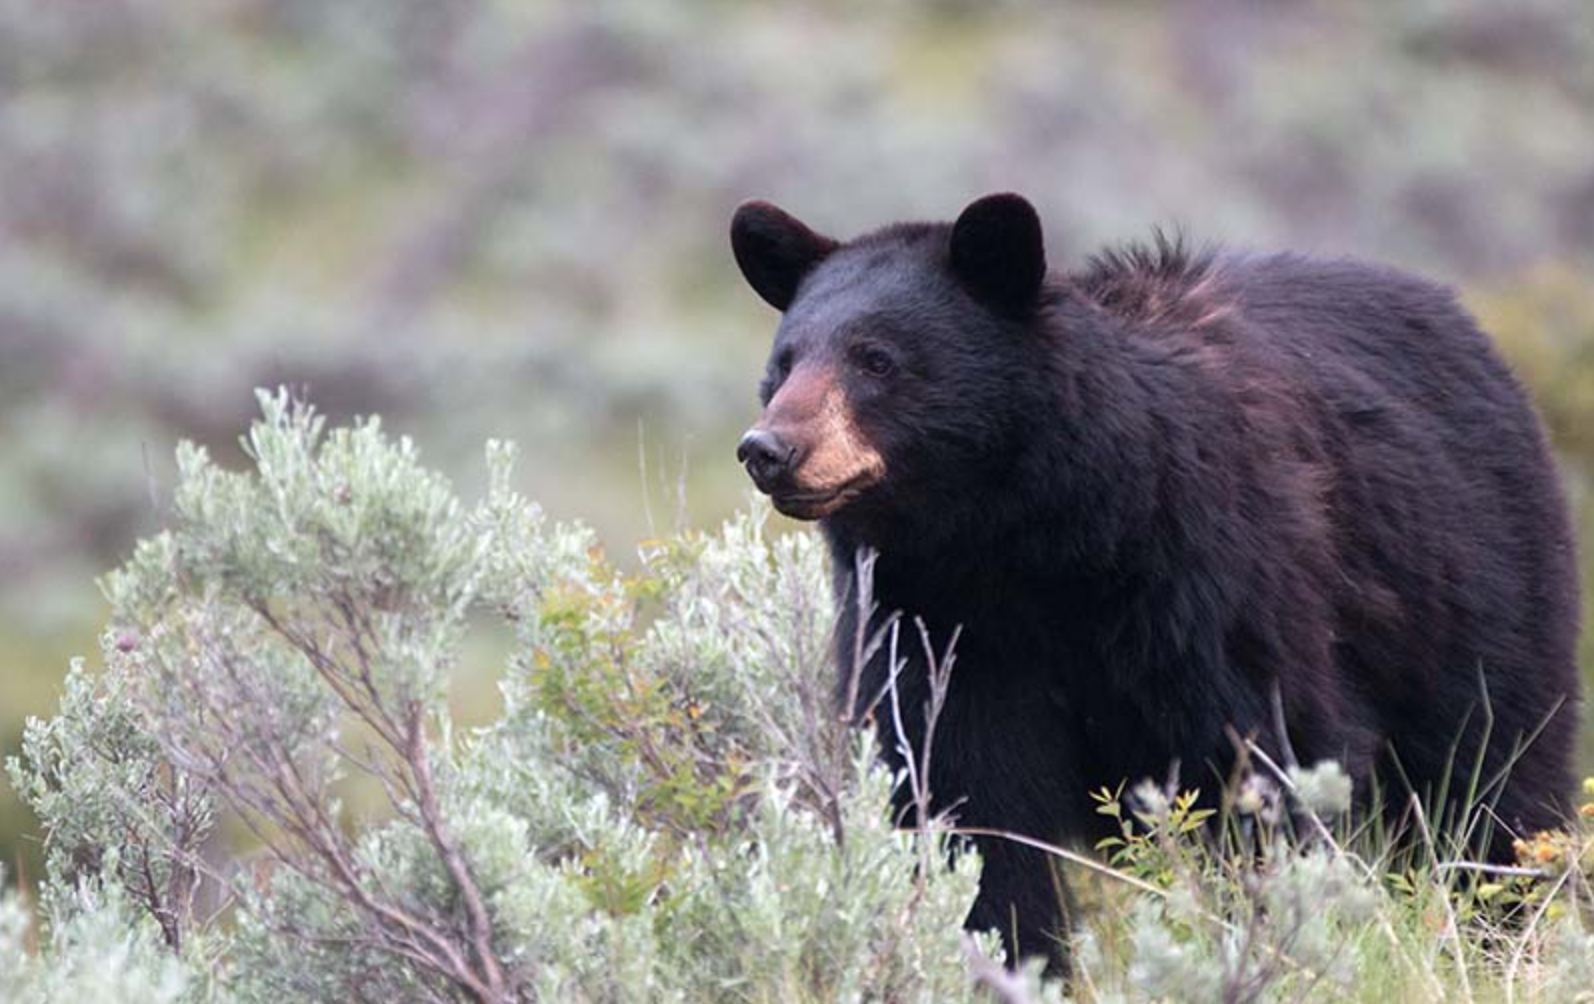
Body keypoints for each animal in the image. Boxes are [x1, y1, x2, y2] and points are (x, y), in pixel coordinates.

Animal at [728, 192, 1582, 970]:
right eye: (784, 363)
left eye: (877, 359)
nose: (770, 449)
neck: (1030, 542)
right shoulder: (936, 624)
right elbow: (966, 806)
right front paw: (1009, 957)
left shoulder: (1213, 579)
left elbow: (1265, 760)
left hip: (1476, 588)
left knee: (1496, 779)